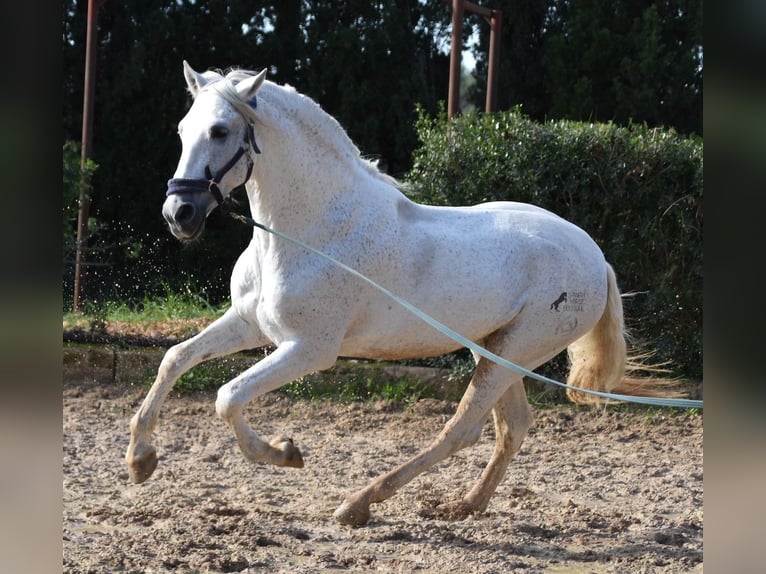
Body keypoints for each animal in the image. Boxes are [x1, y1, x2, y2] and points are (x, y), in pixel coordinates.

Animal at [124, 62, 680, 528]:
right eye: (182, 130)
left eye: (220, 131)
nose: (179, 214)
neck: (313, 230)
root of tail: (595, 256)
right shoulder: (250, 323)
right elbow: (176, 358)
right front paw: (140, 461)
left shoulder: (309, 350)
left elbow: (226, 397)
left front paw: (285, 452)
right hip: (497, 349)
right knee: (511, 426)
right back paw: (464, 506)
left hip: (516, 350)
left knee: (463, 429)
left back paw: (360, 504)